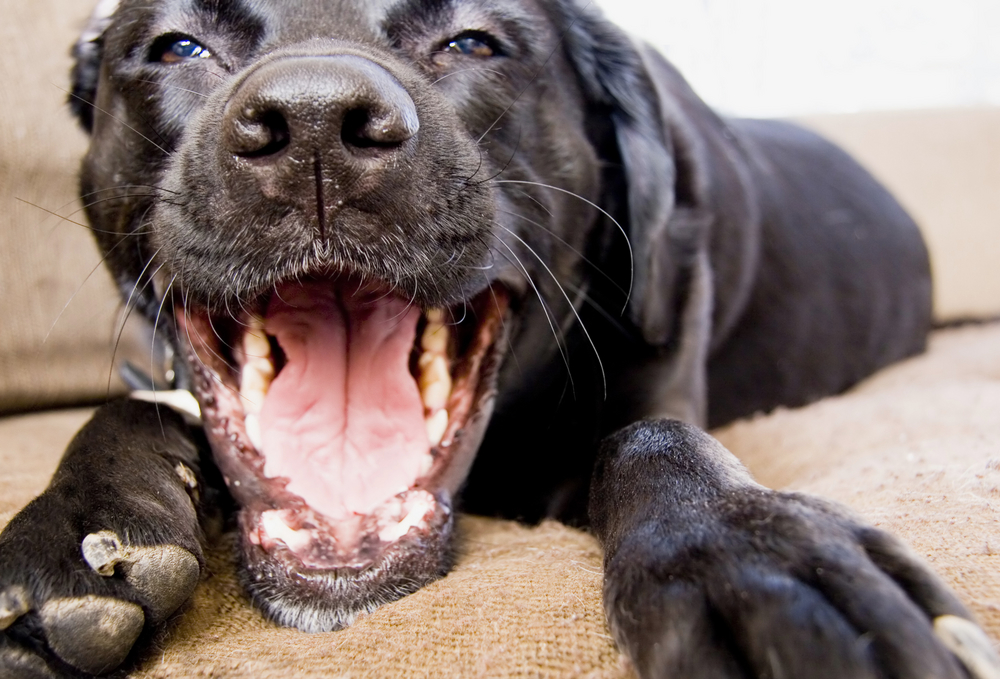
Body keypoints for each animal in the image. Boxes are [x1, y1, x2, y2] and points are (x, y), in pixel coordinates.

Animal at [3, 0, 996, 676]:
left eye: (474, 41)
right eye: (176, 45)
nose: (314, 123)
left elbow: (657, 438)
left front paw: (757, 558)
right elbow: (129, 408)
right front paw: (79, 523)